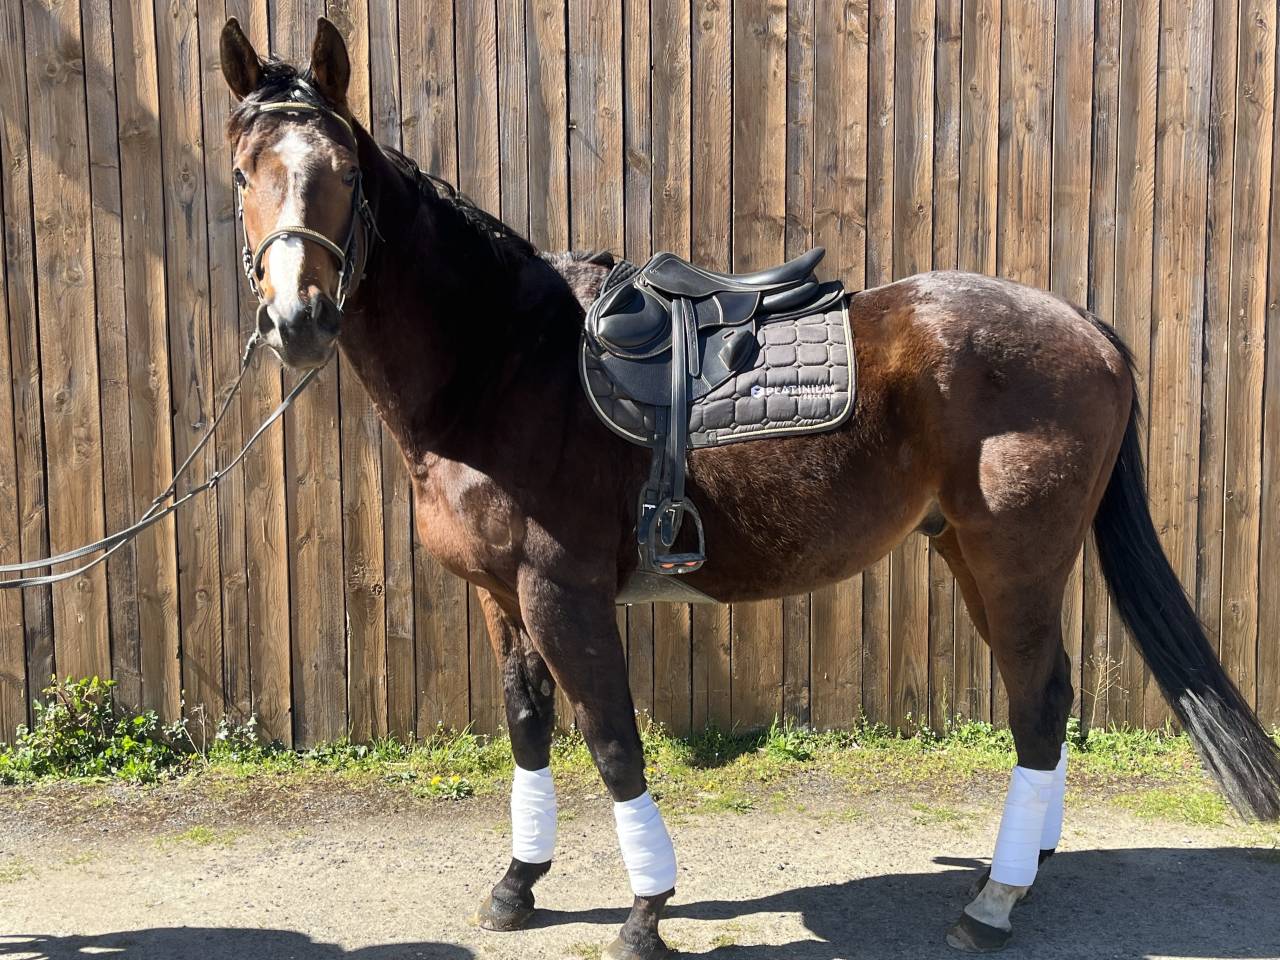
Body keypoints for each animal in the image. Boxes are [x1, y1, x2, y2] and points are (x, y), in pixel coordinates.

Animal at [218, 18, 1280, 958]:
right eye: (241, 173)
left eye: (345, 174)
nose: (296, 320)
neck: (507, 361)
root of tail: (1084, 326)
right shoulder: (499, 596)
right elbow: (528, 731)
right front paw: (519, 884)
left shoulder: (562, 593)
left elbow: (611, 739)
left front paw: (646, 912)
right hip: (970, 553)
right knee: (1045, 701)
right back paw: (1020, 867)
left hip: (1016, 558)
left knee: (1039, 696)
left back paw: (995, 901)